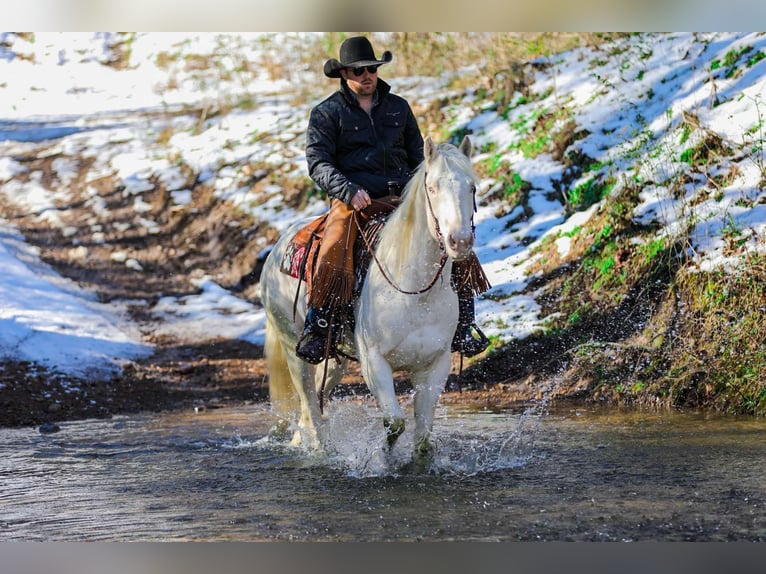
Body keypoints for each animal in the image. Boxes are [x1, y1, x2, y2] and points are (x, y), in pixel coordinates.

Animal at [260, 137, 484, 470]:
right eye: (432, 188)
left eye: (472, 188)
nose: (460, 241)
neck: (414, 291)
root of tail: (276, 250)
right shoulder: (374, 361)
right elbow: (395, 423)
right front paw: (380, 459)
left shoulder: (434, 364)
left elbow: (423, 435)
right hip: (293, 349)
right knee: (310, 406)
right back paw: (320, 452)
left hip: (334, 360)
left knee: (312, 404)